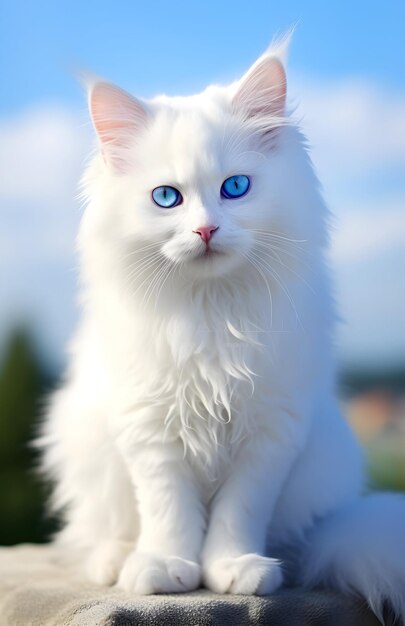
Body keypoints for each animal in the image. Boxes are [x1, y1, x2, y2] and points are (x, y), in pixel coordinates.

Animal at [38, 39, 404, 620]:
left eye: (235, 188)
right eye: (167, 197)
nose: (206, 229)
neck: (212, 313)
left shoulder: (273, 432)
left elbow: (239, 511)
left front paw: (233, 568)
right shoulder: (149, 429)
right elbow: (168, 510)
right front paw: (165, 568)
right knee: (103, 530)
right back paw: (115, 561)